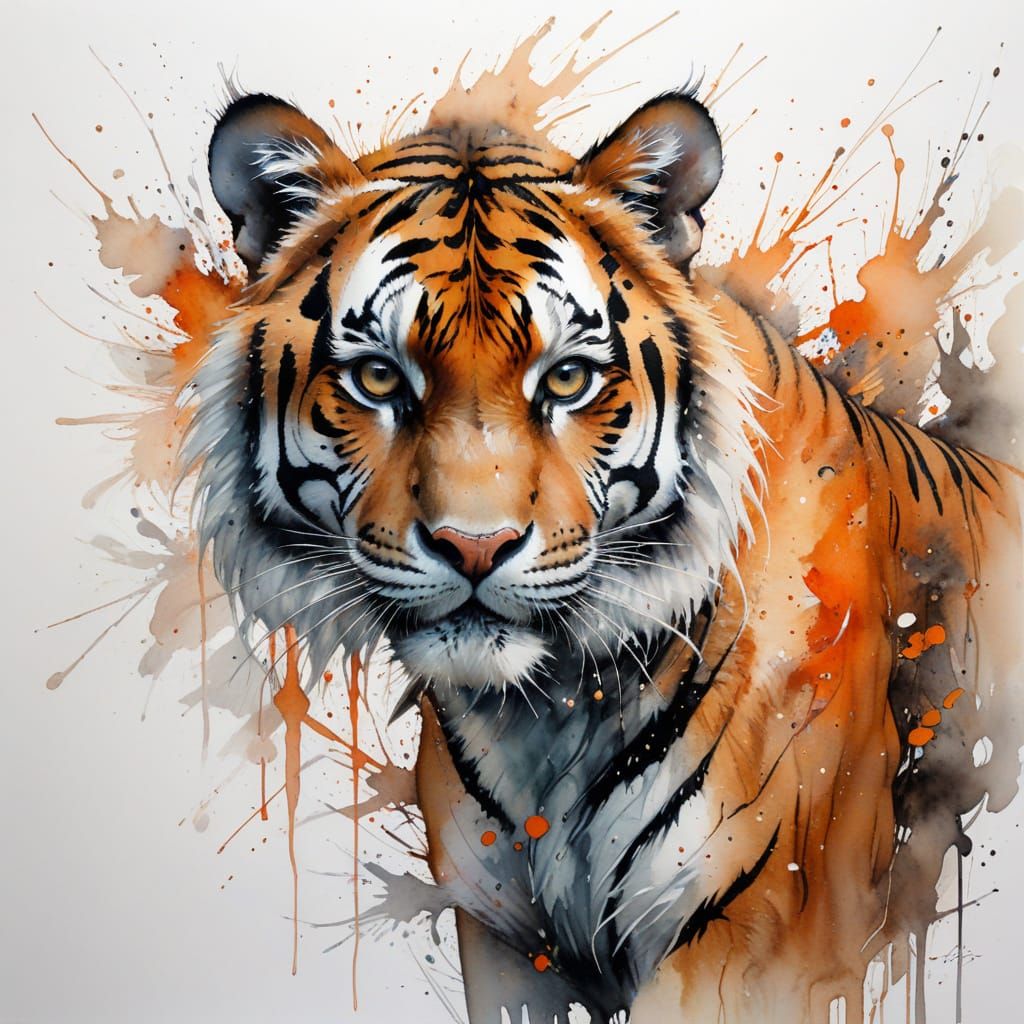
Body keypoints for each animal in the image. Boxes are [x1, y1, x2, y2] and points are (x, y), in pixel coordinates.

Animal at [186, 87, 1024, 1022]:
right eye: (377, 378)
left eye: (565, 380)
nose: (473, 546)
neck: (545, 716)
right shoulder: (505, 941)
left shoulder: (751, 941)